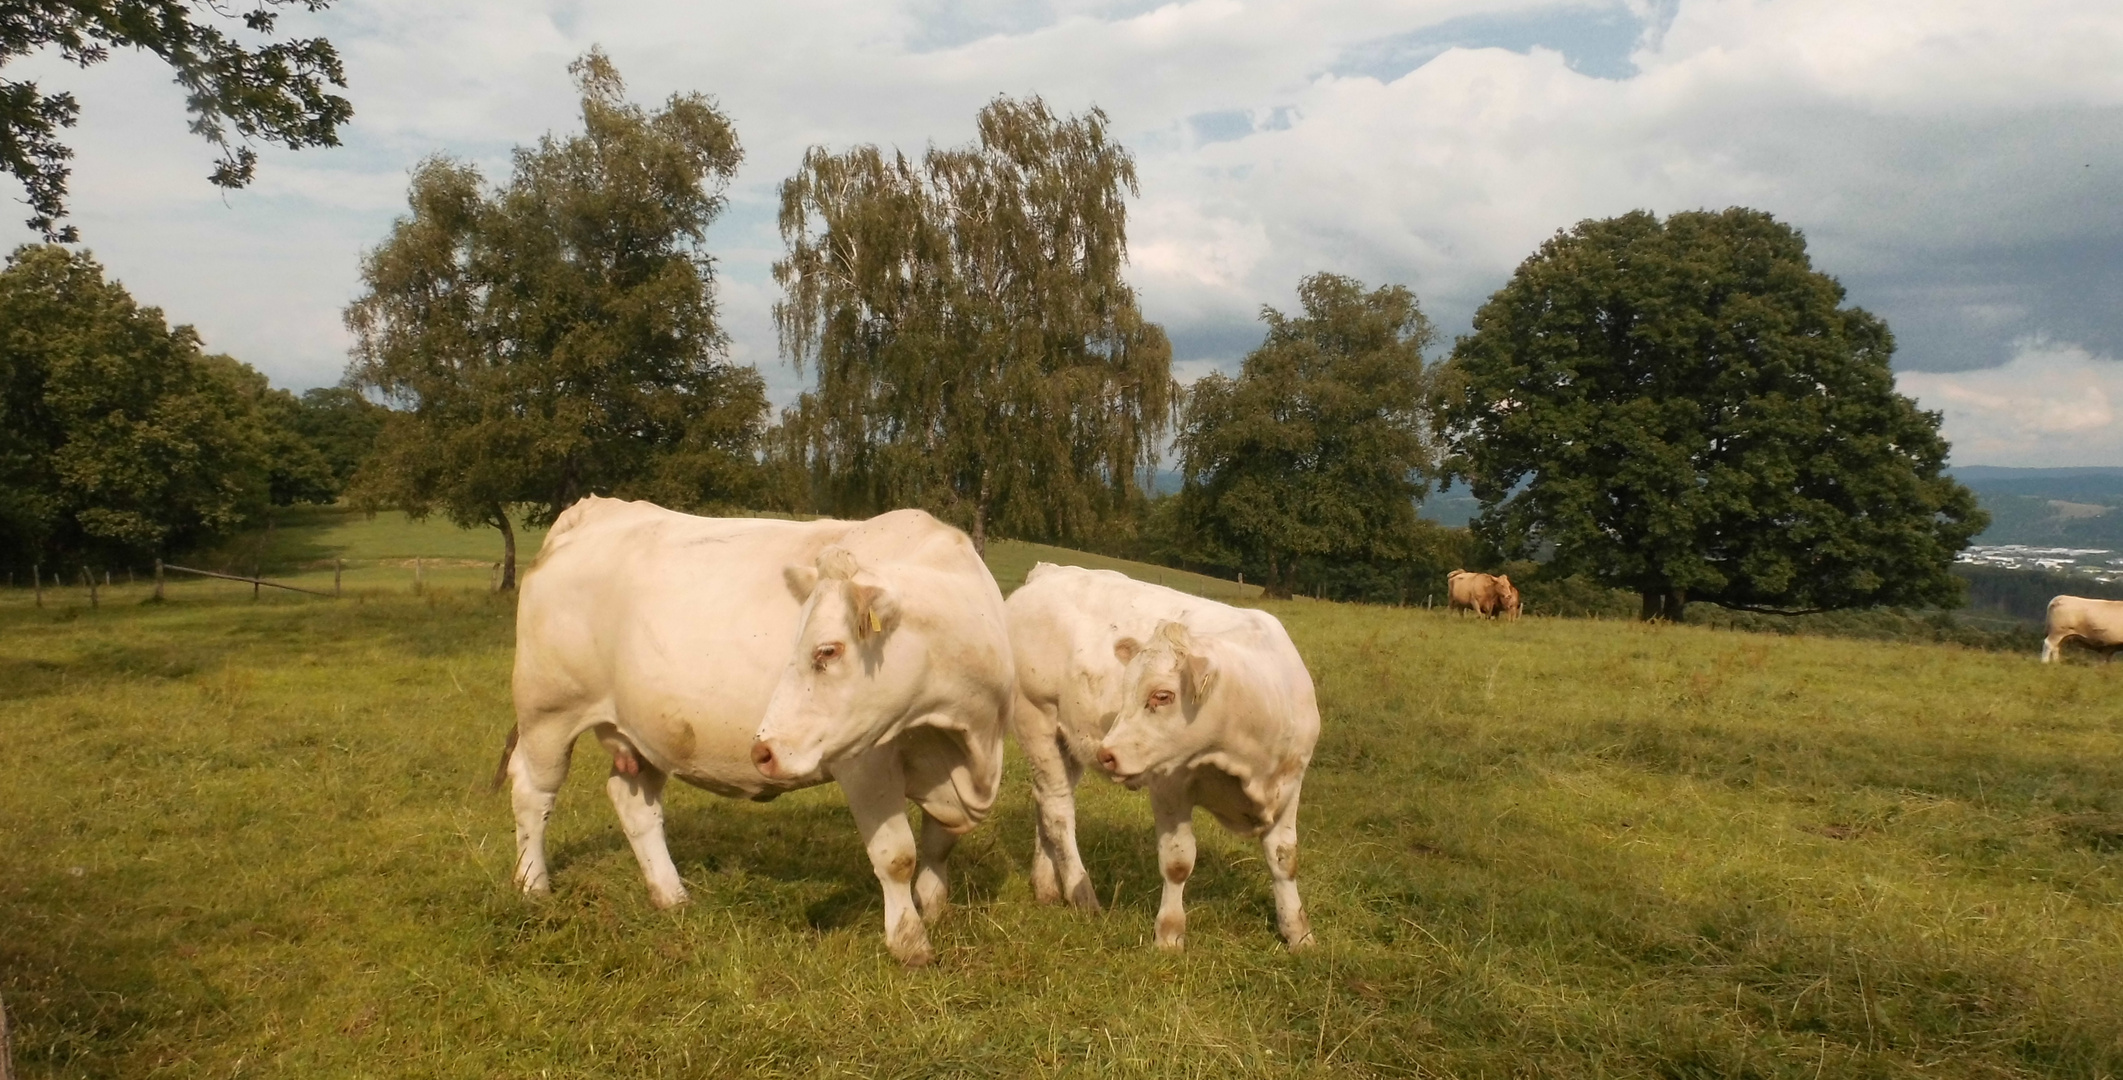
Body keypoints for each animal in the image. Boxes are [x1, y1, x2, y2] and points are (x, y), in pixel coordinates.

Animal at [496, 494, 1010, 959]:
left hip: (644, 730)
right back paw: (533, 886)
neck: (963, 734)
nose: (762, 750)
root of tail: (595, 509)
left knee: (633, 802)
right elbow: (897, 854)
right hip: (548, 711)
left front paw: (933, 908)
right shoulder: (865, 762)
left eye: (827, 650)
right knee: (533, 793)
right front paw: (909, 943)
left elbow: (940, 843)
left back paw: (672, 896)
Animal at [1002, 560, 1316, 946]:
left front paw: (1298, 934)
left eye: (1162, 696)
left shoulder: (1290, 783)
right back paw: (1082, 894)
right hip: (1037, 722)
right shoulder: (1169, 786)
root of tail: (1048, 573)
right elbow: (1177, 861)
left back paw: (1045, 886)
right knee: (1058, 811)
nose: (1107, 754)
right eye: (1126, 688)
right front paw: (1168, 935)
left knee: (1043, 805)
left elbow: (1284, 859)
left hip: (1067, 743)